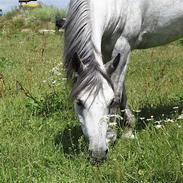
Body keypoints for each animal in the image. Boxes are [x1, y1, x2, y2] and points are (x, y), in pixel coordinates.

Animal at [64, 0, 183, 163]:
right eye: (79, 102)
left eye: (109, 102)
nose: (98, 154)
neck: (116, 4)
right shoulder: (107, 51)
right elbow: (120, 91)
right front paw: (129, 128)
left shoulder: (123, 45)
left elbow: (118, 93)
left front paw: (112, 136)